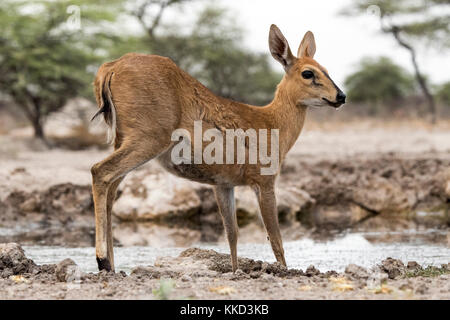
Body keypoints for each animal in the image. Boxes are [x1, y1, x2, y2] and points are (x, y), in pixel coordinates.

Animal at [90, 24, 344, 272]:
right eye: (308, 72)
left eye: (325, 69)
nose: (340, 96)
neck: (270, 121)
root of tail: (113, 66)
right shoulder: (264, 183)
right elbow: (275, 238)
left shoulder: (223, 185)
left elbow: (232, 234)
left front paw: (235, 271)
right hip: (146, 142)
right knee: (99, 171)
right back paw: (103, 261)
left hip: (125, 144)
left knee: (110, 192)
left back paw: (112, 267)